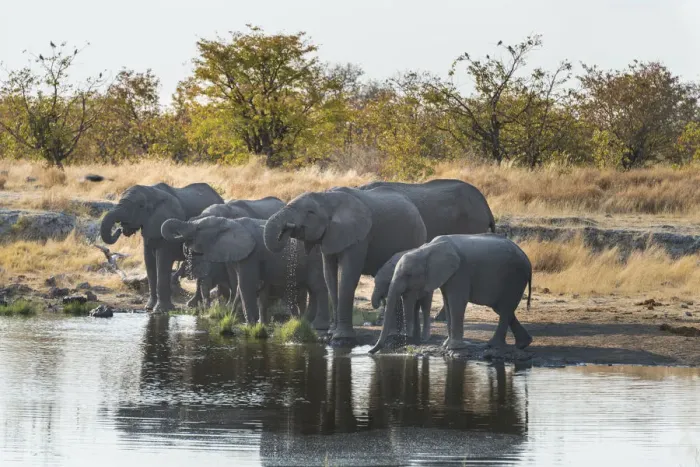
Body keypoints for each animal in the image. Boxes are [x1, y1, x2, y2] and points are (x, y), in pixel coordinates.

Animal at [100, 183, 224, 312]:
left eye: (140, 206)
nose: (119, 229)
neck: (151, 192)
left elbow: (162, 261)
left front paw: (161, 310)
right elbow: (148, 261)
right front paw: (149, 307)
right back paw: (193, 304)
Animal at [161, 216, 330, 328]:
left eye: (198, 229)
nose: (185, 247)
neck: (230, 222)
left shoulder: (250, 255)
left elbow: (245, 286)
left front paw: (250, 326)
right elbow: (240, 287)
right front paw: (236, 318)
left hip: (315, 260)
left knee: (318, 287)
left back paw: (314, 324)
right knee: (311, 290)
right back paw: (305, 321)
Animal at [263, 186, 427, 344]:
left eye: (310, 212)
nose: (286, 229)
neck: (326, 197)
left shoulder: (358, 236)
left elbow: (348, 275)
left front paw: (341, 339)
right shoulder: (329, 235)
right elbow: (329, 276)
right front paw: (331, 334)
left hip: (415, 236)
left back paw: (395, 336)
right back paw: (393, 335)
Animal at [369, 234, 533, 354]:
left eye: (408, 275)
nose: (370, 352)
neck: (426, 249)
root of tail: (527, 258)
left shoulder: (460, 272)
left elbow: (456, 301)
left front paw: (454, 347)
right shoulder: (446, 274)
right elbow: (447, 300)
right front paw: (446, 344)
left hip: (515, 277)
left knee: (505, 309)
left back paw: (493, 345)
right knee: (503, 309)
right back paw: (523, 344)